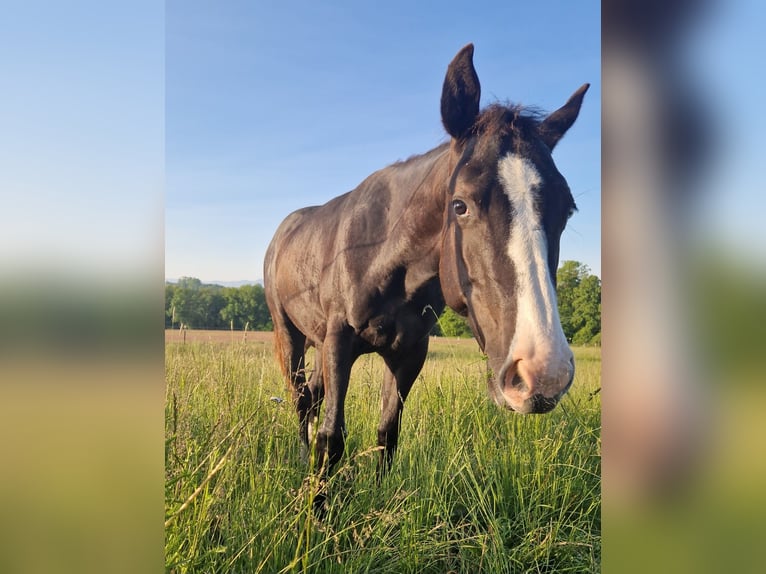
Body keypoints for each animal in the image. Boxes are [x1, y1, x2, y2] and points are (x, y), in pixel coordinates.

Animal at [264, 44, 588, 494]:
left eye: (567, 209)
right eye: (460, 205)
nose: (543, 375)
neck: (386, 262)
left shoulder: (408, 352)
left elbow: (387, 434)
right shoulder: (338, 342)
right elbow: (333, 438)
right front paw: (319, 504)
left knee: (311, 397)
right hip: (290, 336)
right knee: (300, 399)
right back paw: (300, 459)